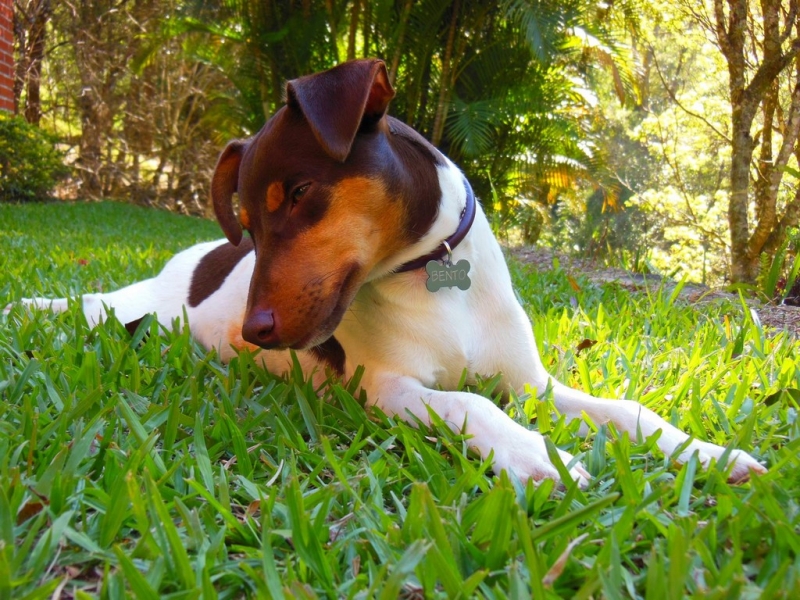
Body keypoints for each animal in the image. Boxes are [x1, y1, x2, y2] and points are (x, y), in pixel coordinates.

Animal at [9, 58, 764, 486]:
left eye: (300, 194)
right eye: (248, 222)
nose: (255, 333)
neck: (430, 278)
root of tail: (191, 261)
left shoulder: (535, 384)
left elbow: (626, 410)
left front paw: (709, 453)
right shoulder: (387, 388)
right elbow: (470, 404)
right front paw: (535, 456)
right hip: (136, 308)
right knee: (90, 303)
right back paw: (26, 308)